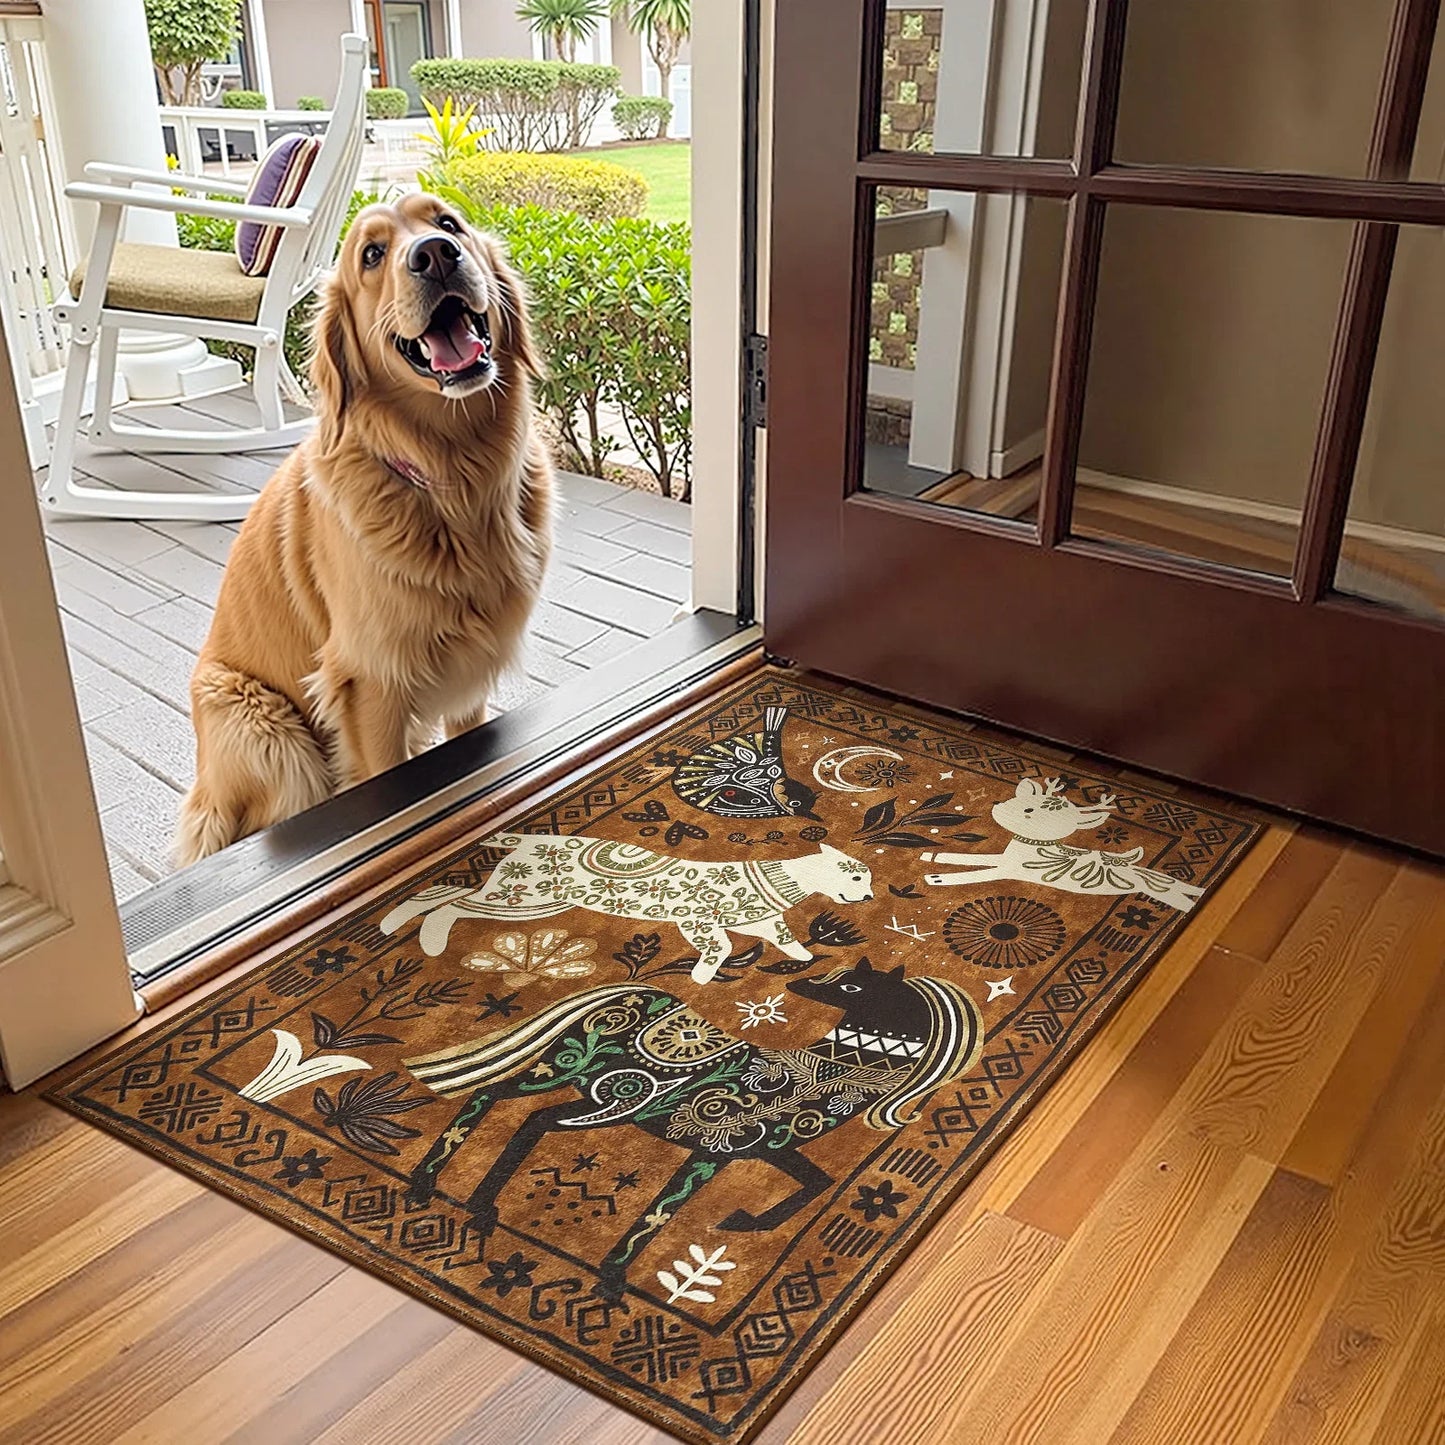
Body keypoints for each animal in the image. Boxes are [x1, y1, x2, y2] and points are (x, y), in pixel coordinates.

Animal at [175, 193, 553, 865]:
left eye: (448, 223)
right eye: (372, 255)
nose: (435, 255)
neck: (457, 483)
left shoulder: (468, 677)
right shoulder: (368, 686)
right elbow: (385, 777)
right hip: (266, 730)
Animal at [402, 956, 983, 1299]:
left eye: (851, 983)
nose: (796, 983)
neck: (828, 1070)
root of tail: (621, 992)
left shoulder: (761, 1149)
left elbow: (817, 1182)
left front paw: (741, 1222)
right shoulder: (713, 1148)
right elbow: (660, 1214)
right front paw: (612, 1281)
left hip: (580, 1087)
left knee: (509, 1107)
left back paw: (455, 1198)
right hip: (589, 1085)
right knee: (508, 1108)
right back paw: (448, 1195)